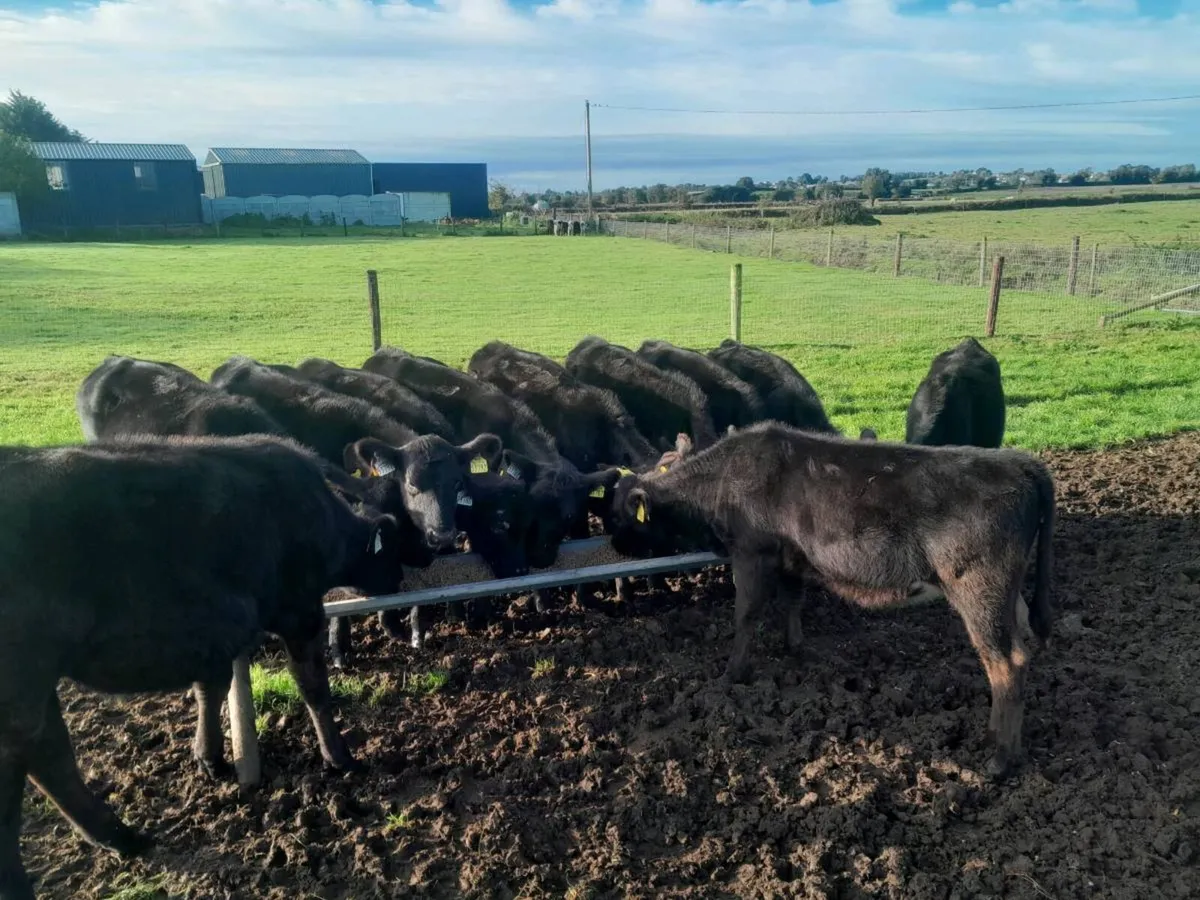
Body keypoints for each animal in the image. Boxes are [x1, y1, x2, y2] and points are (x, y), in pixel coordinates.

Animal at [0, 434, 414, 900]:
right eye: (392, 550)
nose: (400, 579)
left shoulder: (216, 637)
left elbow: (211, 689)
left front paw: (210, 758)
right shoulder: (300, 613)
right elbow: (313, 688)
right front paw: (340, 757)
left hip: (33, 687)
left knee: (51, 756)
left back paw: (123, 838)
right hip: (20, 686)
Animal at [605, 422, 1056, 778]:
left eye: (620, 513)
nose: (613, 545)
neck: (721, 479)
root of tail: (1020, 461)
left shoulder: (752, 553)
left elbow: (745, 615)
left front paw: (732, 674)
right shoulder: (790, 558)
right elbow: (792, 602)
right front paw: (795, 649)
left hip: (979, 589)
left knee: (1005, 662)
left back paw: (999, 757)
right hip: (1009, 593)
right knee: (1023, 647)